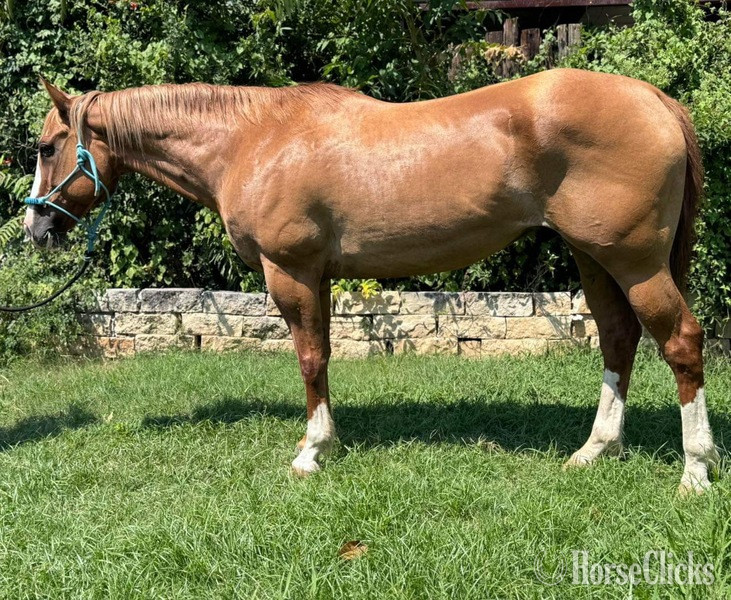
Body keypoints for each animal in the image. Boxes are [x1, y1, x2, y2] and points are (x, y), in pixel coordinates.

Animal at [23, 70, 719, 493]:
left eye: (47, 146)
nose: (35, 227)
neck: (255, 139)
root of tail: (654, 99)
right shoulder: (317, 277)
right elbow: (324, 357)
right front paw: (327, 442)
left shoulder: (291, 272)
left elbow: (309, 358)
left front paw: (311, 451)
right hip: (594, 257)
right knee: (619, 339)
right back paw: (595, 449)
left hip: (635, 261)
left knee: (681, 341)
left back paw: (695, 470)